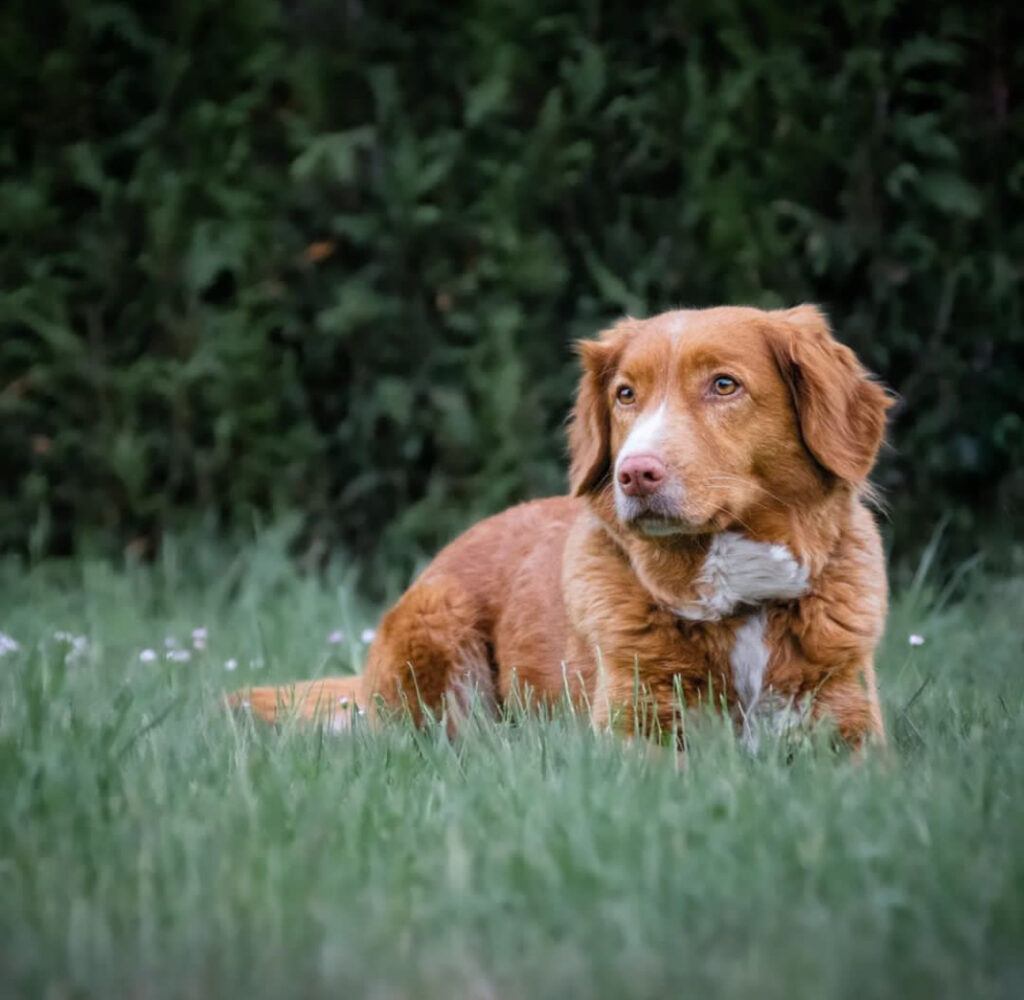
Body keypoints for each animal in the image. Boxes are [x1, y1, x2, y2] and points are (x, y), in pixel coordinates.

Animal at [235, 305, 892, 749]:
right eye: (626, 394)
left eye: (724, 384)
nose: (635, 473)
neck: (741, 601)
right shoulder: (635, 729)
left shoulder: (853, 731)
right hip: (437, 623)